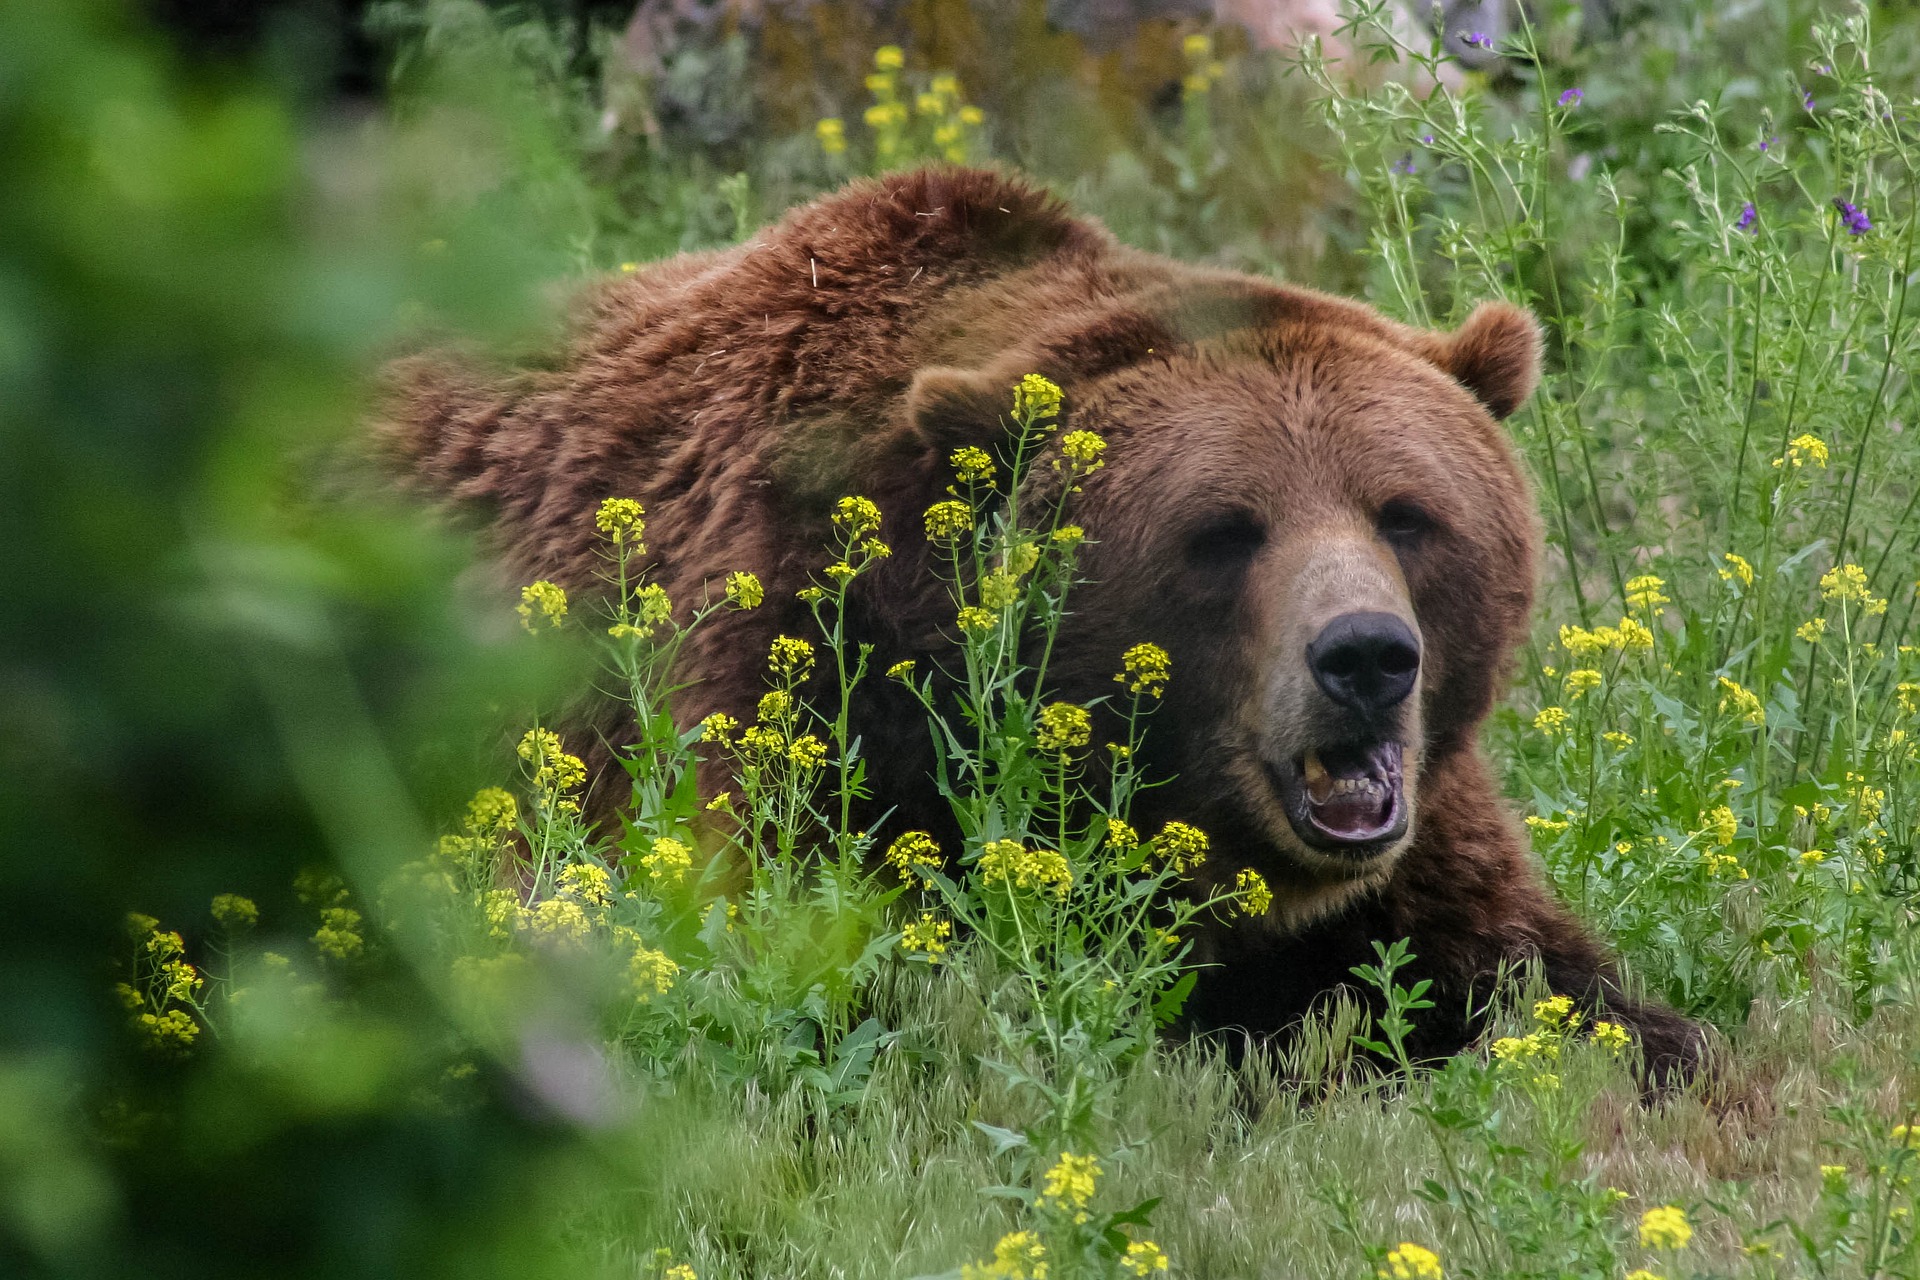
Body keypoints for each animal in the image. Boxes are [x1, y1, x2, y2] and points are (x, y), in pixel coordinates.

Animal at [382, 160, 1704, 1082]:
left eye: (1408, 511)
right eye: (1226, 529)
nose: (1367, 657)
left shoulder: (1417, 839)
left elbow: (1538, 977)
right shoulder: (803, 708)